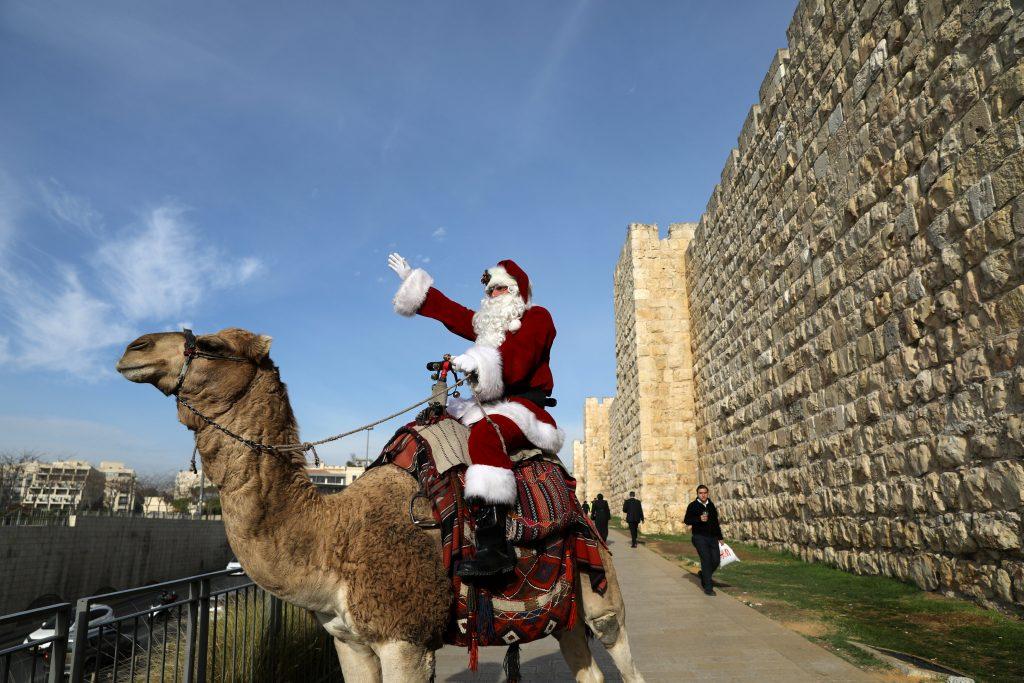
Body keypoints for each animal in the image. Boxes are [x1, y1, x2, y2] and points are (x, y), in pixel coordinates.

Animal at [116, 327, 643, 679]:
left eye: (212, 346)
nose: (133, 348)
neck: (332, 537)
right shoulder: (349, 642)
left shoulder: (404, 640)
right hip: (565, 612)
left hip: (602, 595)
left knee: (621, 655)